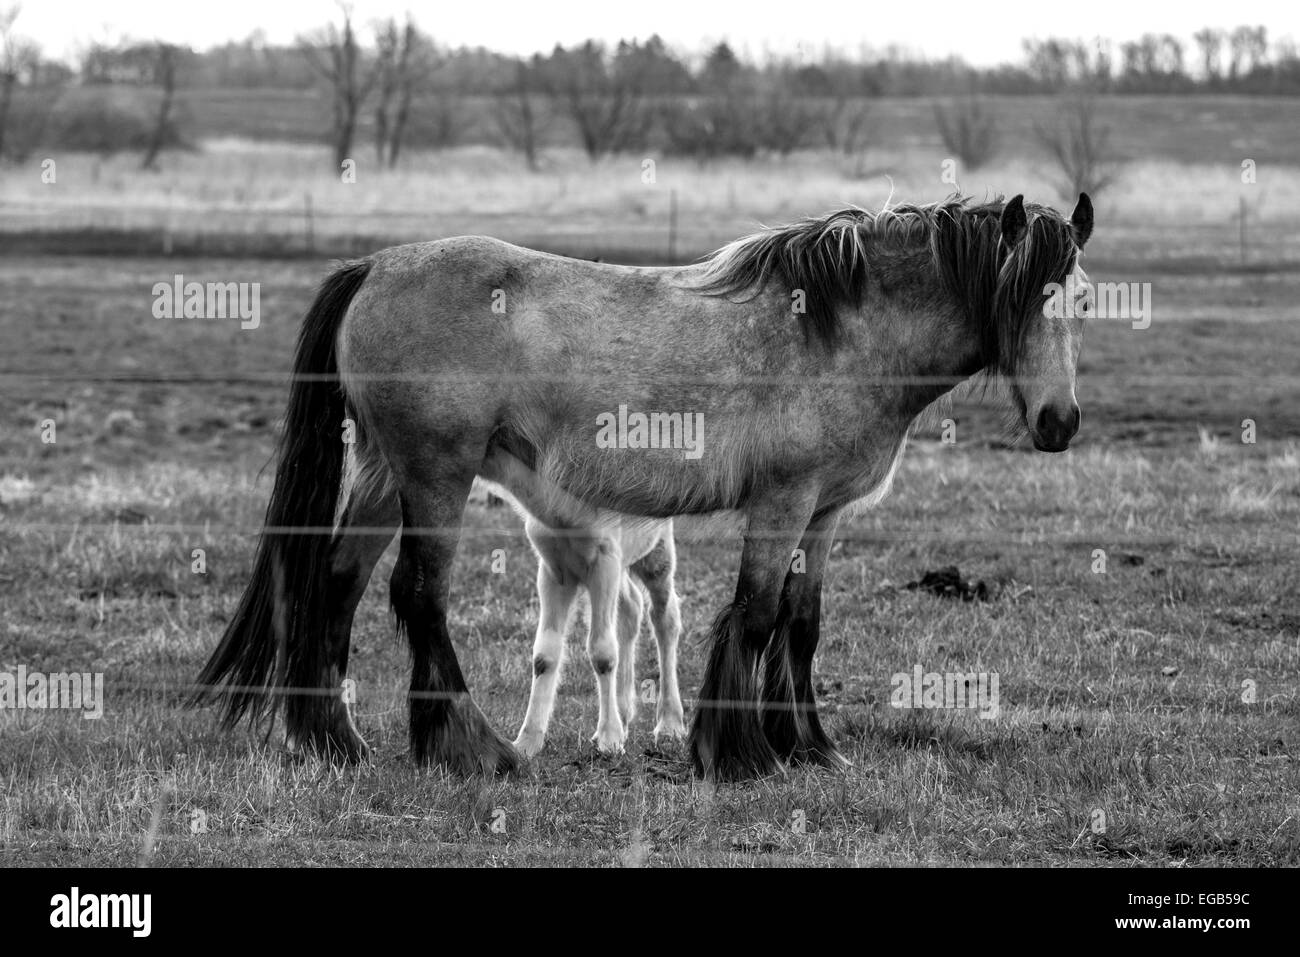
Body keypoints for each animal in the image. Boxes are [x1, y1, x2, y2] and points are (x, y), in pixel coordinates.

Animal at [504, 512, 691, 759]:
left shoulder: (605, 558)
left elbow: (602, 653)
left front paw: (609, 741)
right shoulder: (553, 568)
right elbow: (544, 655)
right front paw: (526, 744)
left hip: (656, 548)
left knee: (665, 615)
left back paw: (670, 726)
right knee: (631, 604)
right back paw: (624, 718)